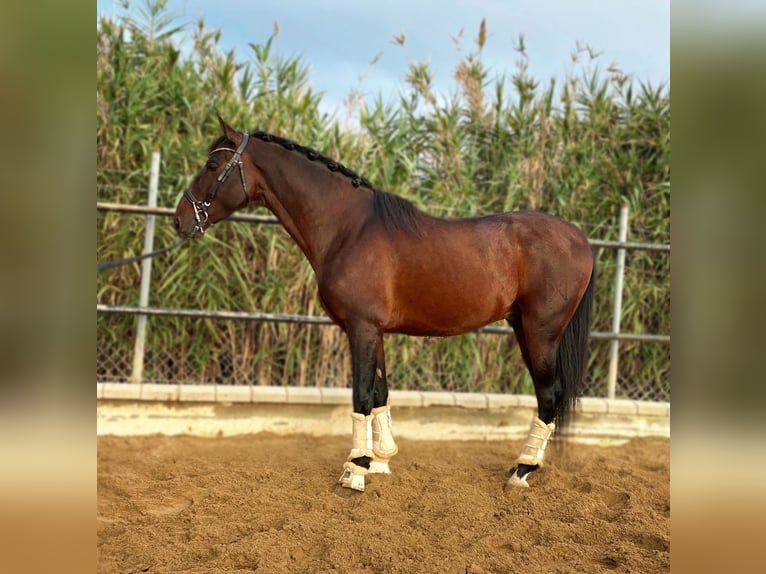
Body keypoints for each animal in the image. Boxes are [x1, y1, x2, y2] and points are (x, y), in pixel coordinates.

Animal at [176, 117, 600, 496]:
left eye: (212, 166)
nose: (181, 219)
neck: (349, 229)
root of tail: (578, 238)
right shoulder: (373, 330)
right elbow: (380, 393)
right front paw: (379, 460)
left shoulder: (361, 328)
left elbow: (361, 395)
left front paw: (355, 472)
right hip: (522, 328)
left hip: (541, 331)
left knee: (549, 393)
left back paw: (522, 472)